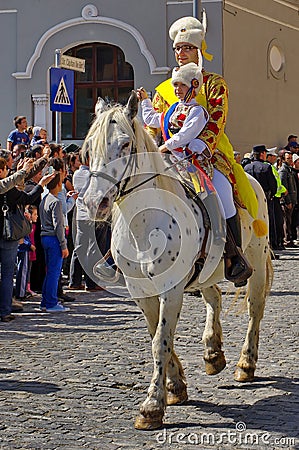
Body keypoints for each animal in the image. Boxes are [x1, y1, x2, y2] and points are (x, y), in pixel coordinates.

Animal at [82, 90, 274, 428]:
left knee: (255, 309)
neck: (144, 225)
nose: (95, 203)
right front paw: (175, 386)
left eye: (125, 144)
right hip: (206, 272)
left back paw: (245, 364)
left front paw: (152, 406)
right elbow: (157, 335)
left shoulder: (170, 290)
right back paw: (213, 353)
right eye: (90, 147)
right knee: (215, 298)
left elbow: (161, 339)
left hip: (255, 259)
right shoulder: (141, 291)